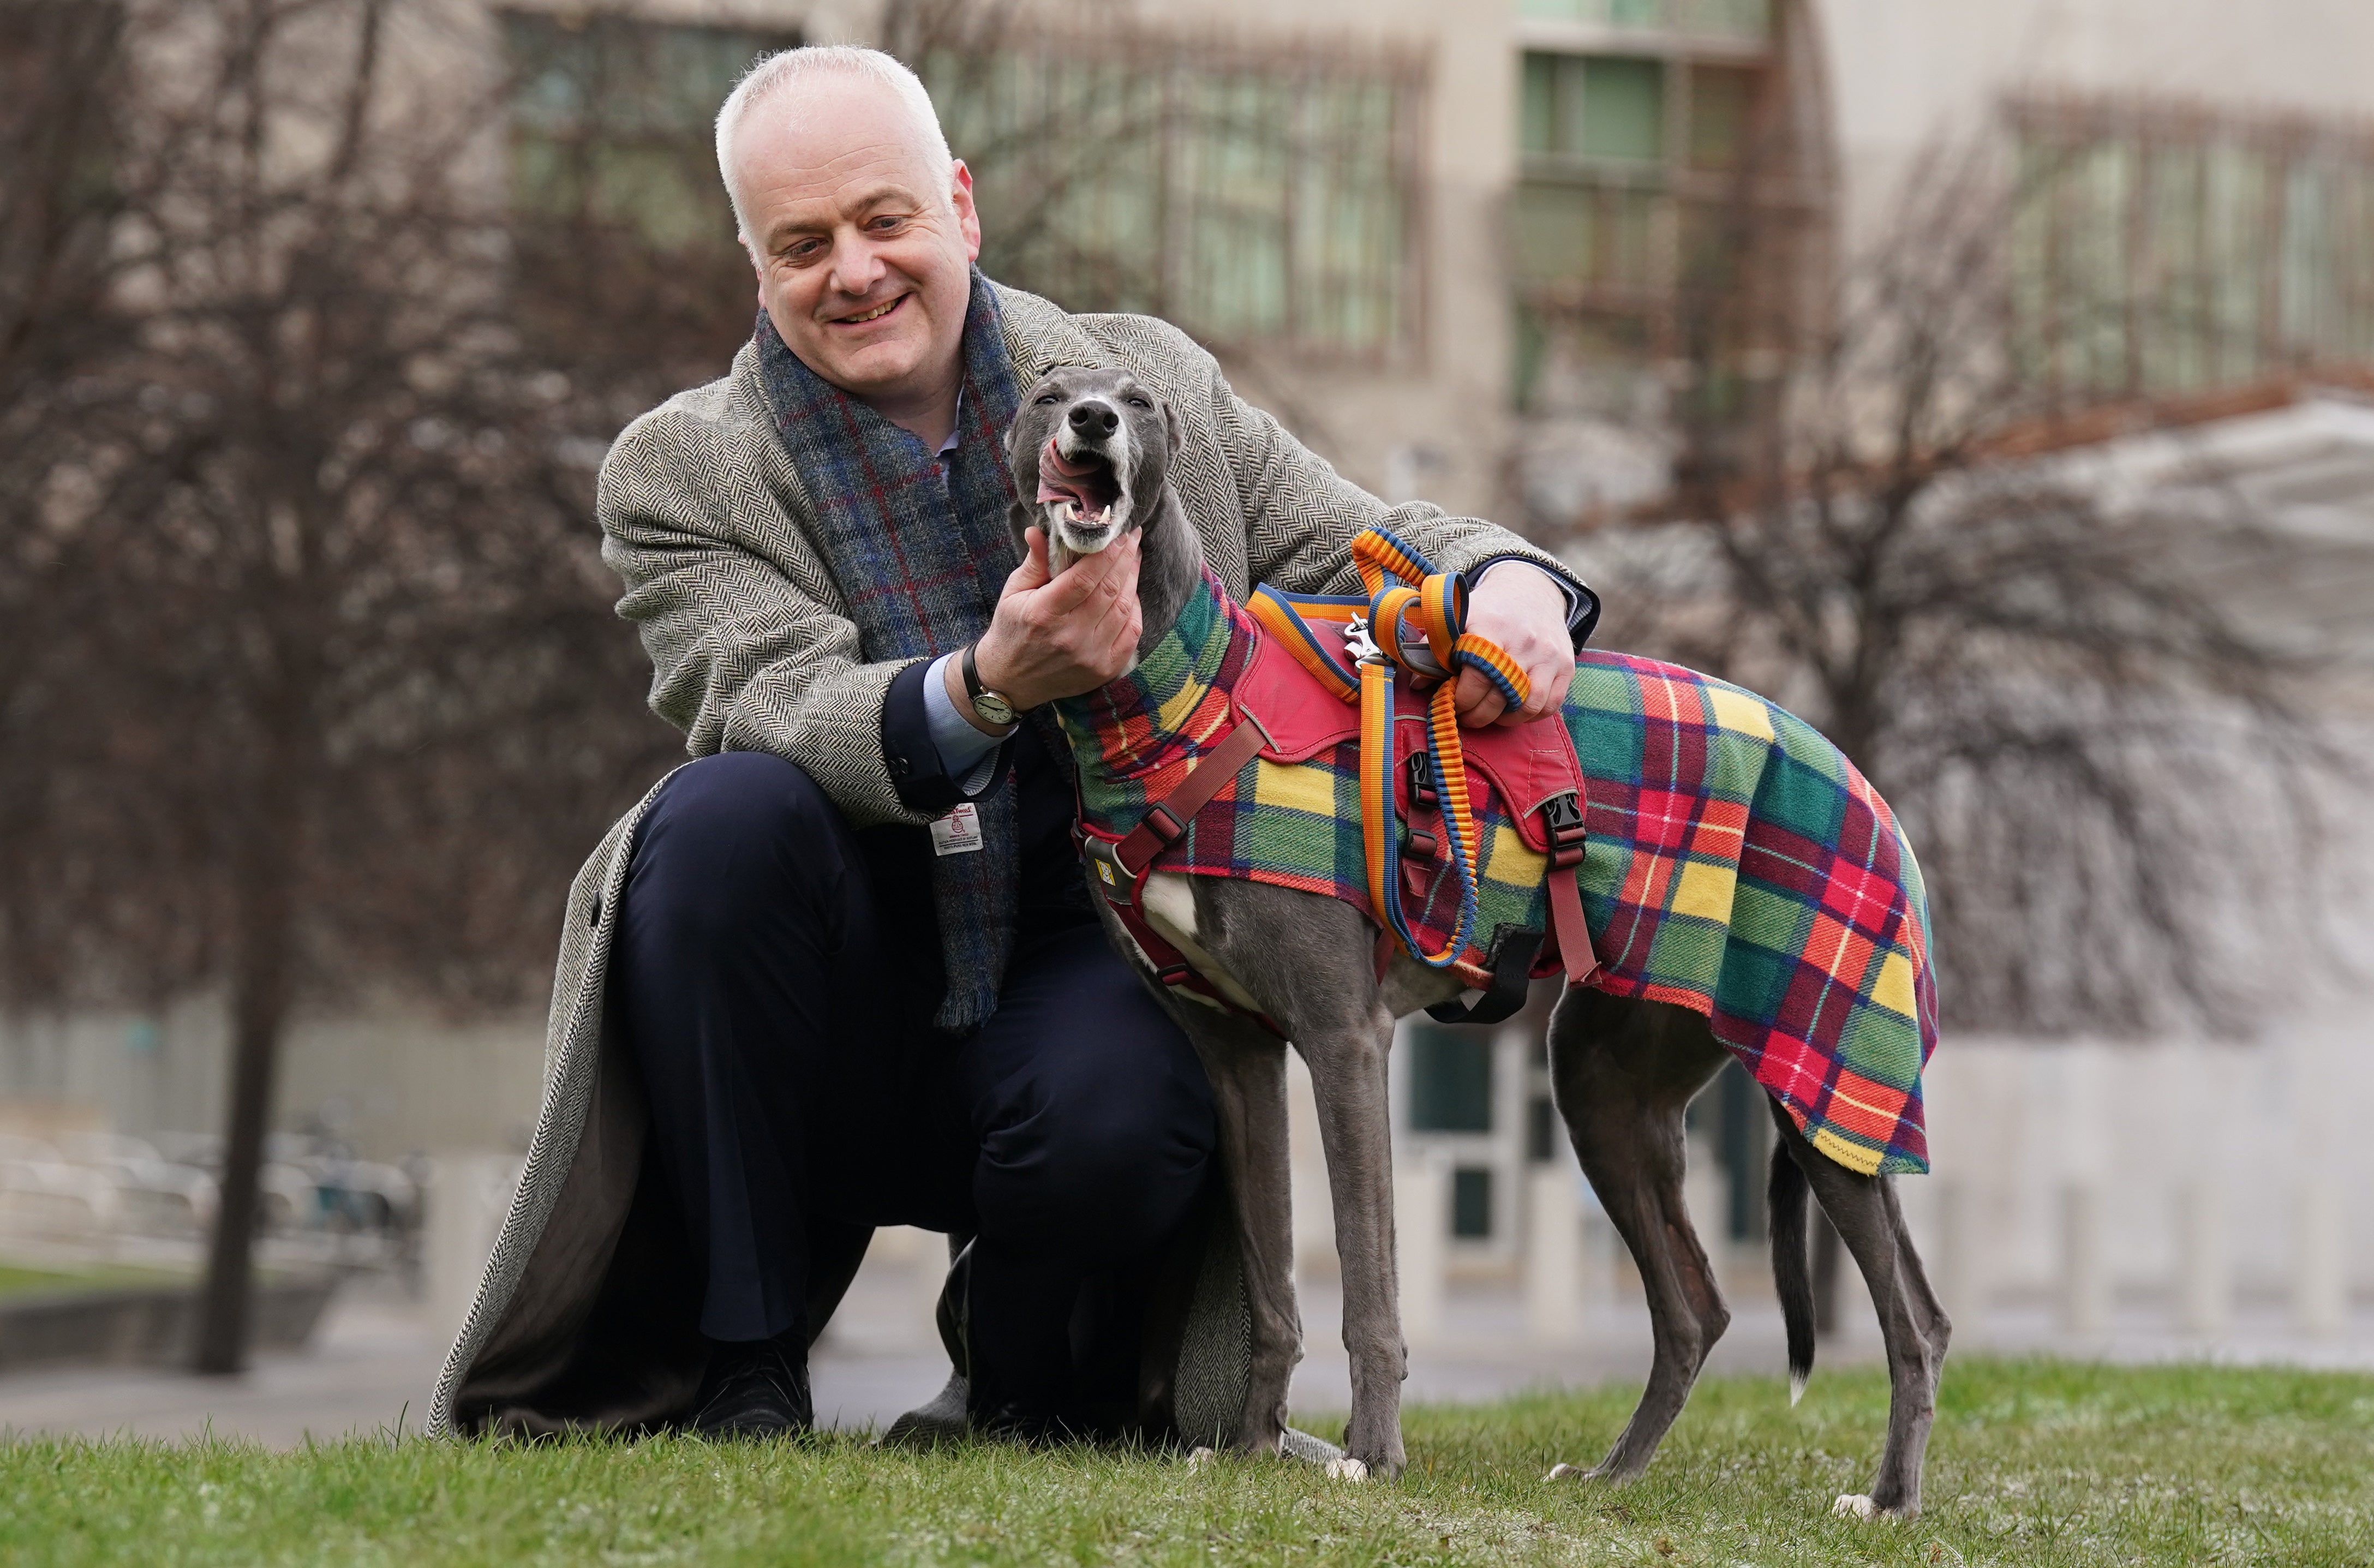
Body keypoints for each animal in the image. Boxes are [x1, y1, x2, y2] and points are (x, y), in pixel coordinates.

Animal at [1002, 367, 1946, 1518]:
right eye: (1047, 393)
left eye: (1138, 401)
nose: (1089, 420)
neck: (1186, 705)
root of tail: (1873, 793)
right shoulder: (1238, 1056)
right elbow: (1274, 1284)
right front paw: (1255, 1447)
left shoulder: (1345, 1037)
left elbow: (1369, 1283)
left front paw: (1370, 1453)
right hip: (1607, 1085)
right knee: (1698, 1306)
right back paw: (1613, 1473)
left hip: (1831, 1074)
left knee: (1916, 1320)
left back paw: (1890, 1497)